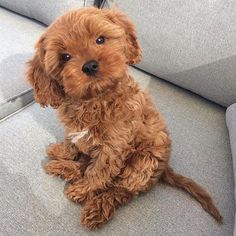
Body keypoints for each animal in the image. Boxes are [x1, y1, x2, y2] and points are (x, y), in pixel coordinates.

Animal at [26, 6, 223, 229]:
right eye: (65, 57)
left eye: (100, 39)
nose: (90, 66)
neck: (95, 99)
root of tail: (164, 169)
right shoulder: (75, 130)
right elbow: (73, 143)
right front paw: (62, 151)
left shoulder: (113, 147)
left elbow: (99, 173)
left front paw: (85, 190)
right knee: (87, 167)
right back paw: (63, 167)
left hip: (142, 164)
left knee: (120, 190)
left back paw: (96, 207)